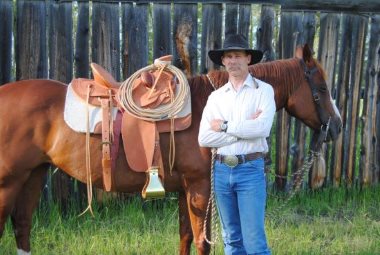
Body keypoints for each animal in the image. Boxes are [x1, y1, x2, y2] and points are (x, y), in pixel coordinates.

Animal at [0, 44, 342, 254]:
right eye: (322, 88)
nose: (337, 127)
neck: (207, 105)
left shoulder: (185, 189)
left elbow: (185, 237)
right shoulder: (200, 187)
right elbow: (202, 241)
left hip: (33, 175)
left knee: (22, 226)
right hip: (10, 181)